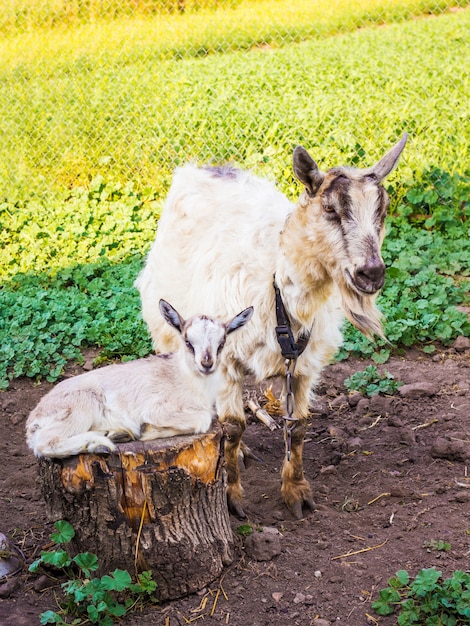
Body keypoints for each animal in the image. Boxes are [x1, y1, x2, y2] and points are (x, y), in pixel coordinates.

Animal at [25, 300, 253, 456]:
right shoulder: (157, 408)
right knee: (45, 443)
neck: (184, 378)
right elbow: (203, 419)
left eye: (222, 343)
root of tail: (33, 420)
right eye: (188, 341)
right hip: (81, 405)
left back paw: (114, 435)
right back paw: (100, 444)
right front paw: (147, 429)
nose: (207, 364)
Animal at [136, 135, 408, 516]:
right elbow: (234, 426)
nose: (371, 273)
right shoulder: (224, 358)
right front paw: (232, 495)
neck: (277, 283)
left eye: (382, 211)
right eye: (330, 209)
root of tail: (204, 166)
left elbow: (299, 426)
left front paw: (296, 492)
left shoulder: (305, 364)